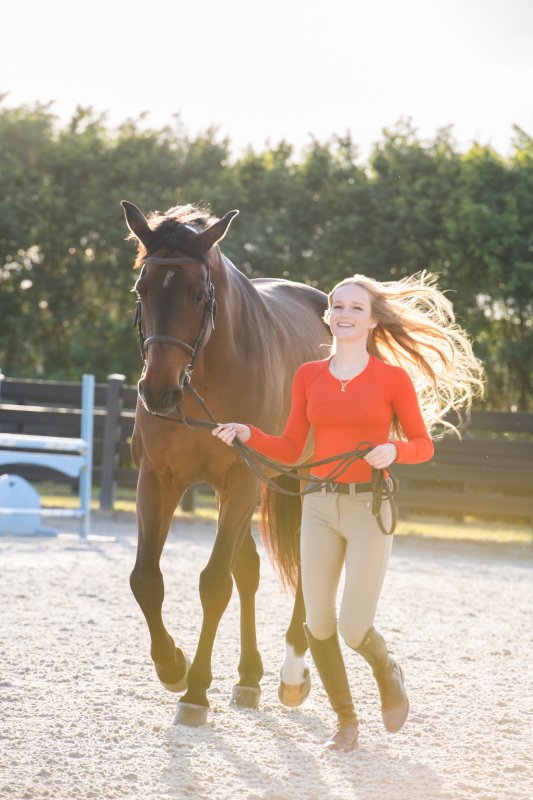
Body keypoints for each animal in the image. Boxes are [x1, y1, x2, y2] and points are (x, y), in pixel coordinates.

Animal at [122, 200, 331, 726]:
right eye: (141, 289)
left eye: (198, 294)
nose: (158, 393)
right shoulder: (158, 480)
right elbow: (146, 580)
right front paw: (172, 666)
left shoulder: (240, 481)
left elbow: (214, 583)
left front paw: (195, 691)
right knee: (249, 570)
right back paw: (249, 677)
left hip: (306, 479)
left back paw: (292, 674)